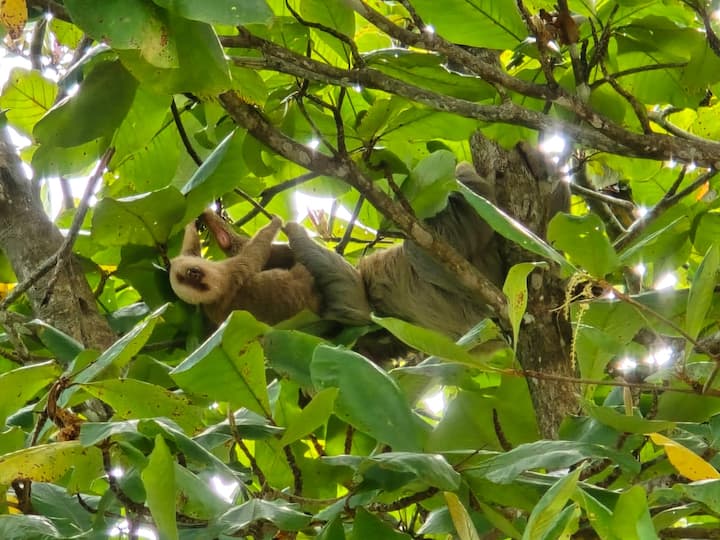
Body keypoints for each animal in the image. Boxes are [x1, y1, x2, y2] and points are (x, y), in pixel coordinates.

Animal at [169, 214, 321, 326]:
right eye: (194, 274)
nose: (194, 275)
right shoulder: (230, 273)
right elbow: (251, 254)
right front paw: (275, 222)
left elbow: (216, 242)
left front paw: (198, 216)